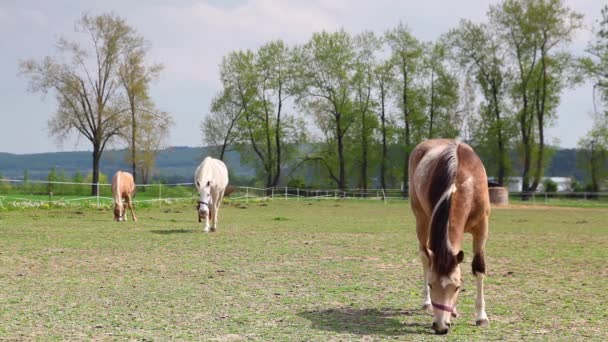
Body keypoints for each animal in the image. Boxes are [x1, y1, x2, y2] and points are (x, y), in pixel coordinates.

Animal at [408, 139, 490, 334]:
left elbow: (479, 268)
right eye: (431, 284)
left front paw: (481, 317)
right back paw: (426, 302)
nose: (440, 327)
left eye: (457, 287)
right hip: (421, 219)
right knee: (424, 257)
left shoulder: (482, 228)